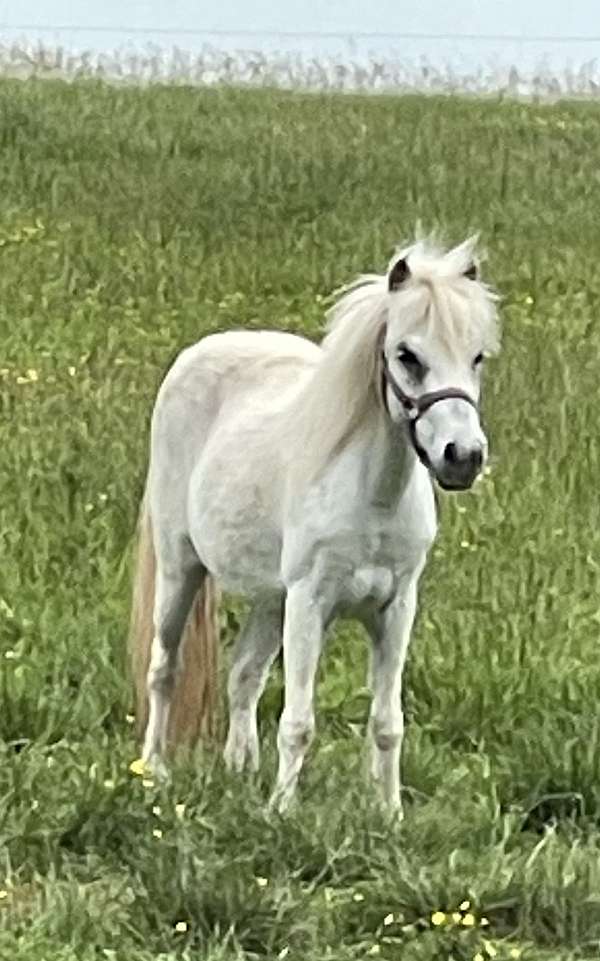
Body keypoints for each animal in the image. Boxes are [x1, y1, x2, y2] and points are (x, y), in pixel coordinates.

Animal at [129, 234, 500, 808]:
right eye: (407, 355)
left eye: (476, 356)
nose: (463, 457)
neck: (373, 501)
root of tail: (198, 353)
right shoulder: (310, 603)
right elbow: (298, 722)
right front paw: (282, 811)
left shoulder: (396, 608)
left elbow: (387, 723)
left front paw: (388, 812)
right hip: (180, 568)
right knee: (163, 667)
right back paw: (155, 770)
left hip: (269, 596)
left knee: (243, 674)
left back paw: (240, 769)